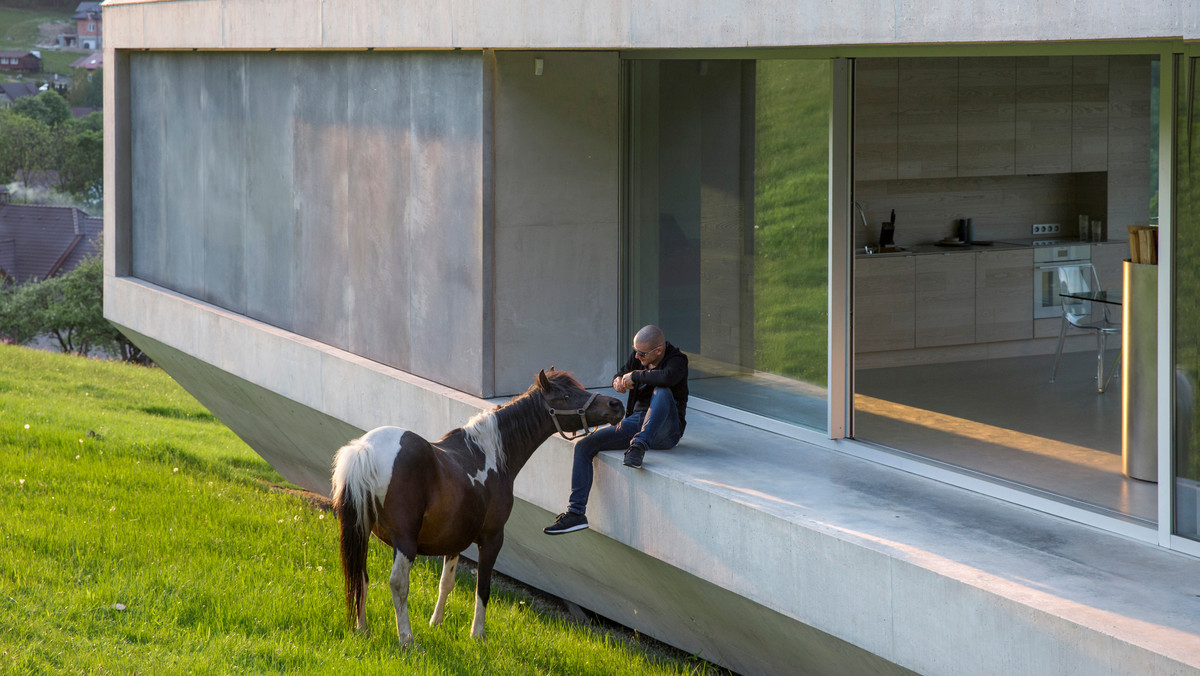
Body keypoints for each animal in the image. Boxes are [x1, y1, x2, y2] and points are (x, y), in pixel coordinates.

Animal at [333, 372, 624, 648]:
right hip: (404, 541)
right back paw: (407, 639)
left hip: (362, 532)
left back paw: (363, 630)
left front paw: (436, 623)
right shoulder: (492, 537)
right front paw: (478, 635)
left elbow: (446, 583)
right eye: (565, 396)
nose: (616, 404)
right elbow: (482, 587)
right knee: (397, 583)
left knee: (360, 575)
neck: (487, 453)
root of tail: (365, 449)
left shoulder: (453, 538)